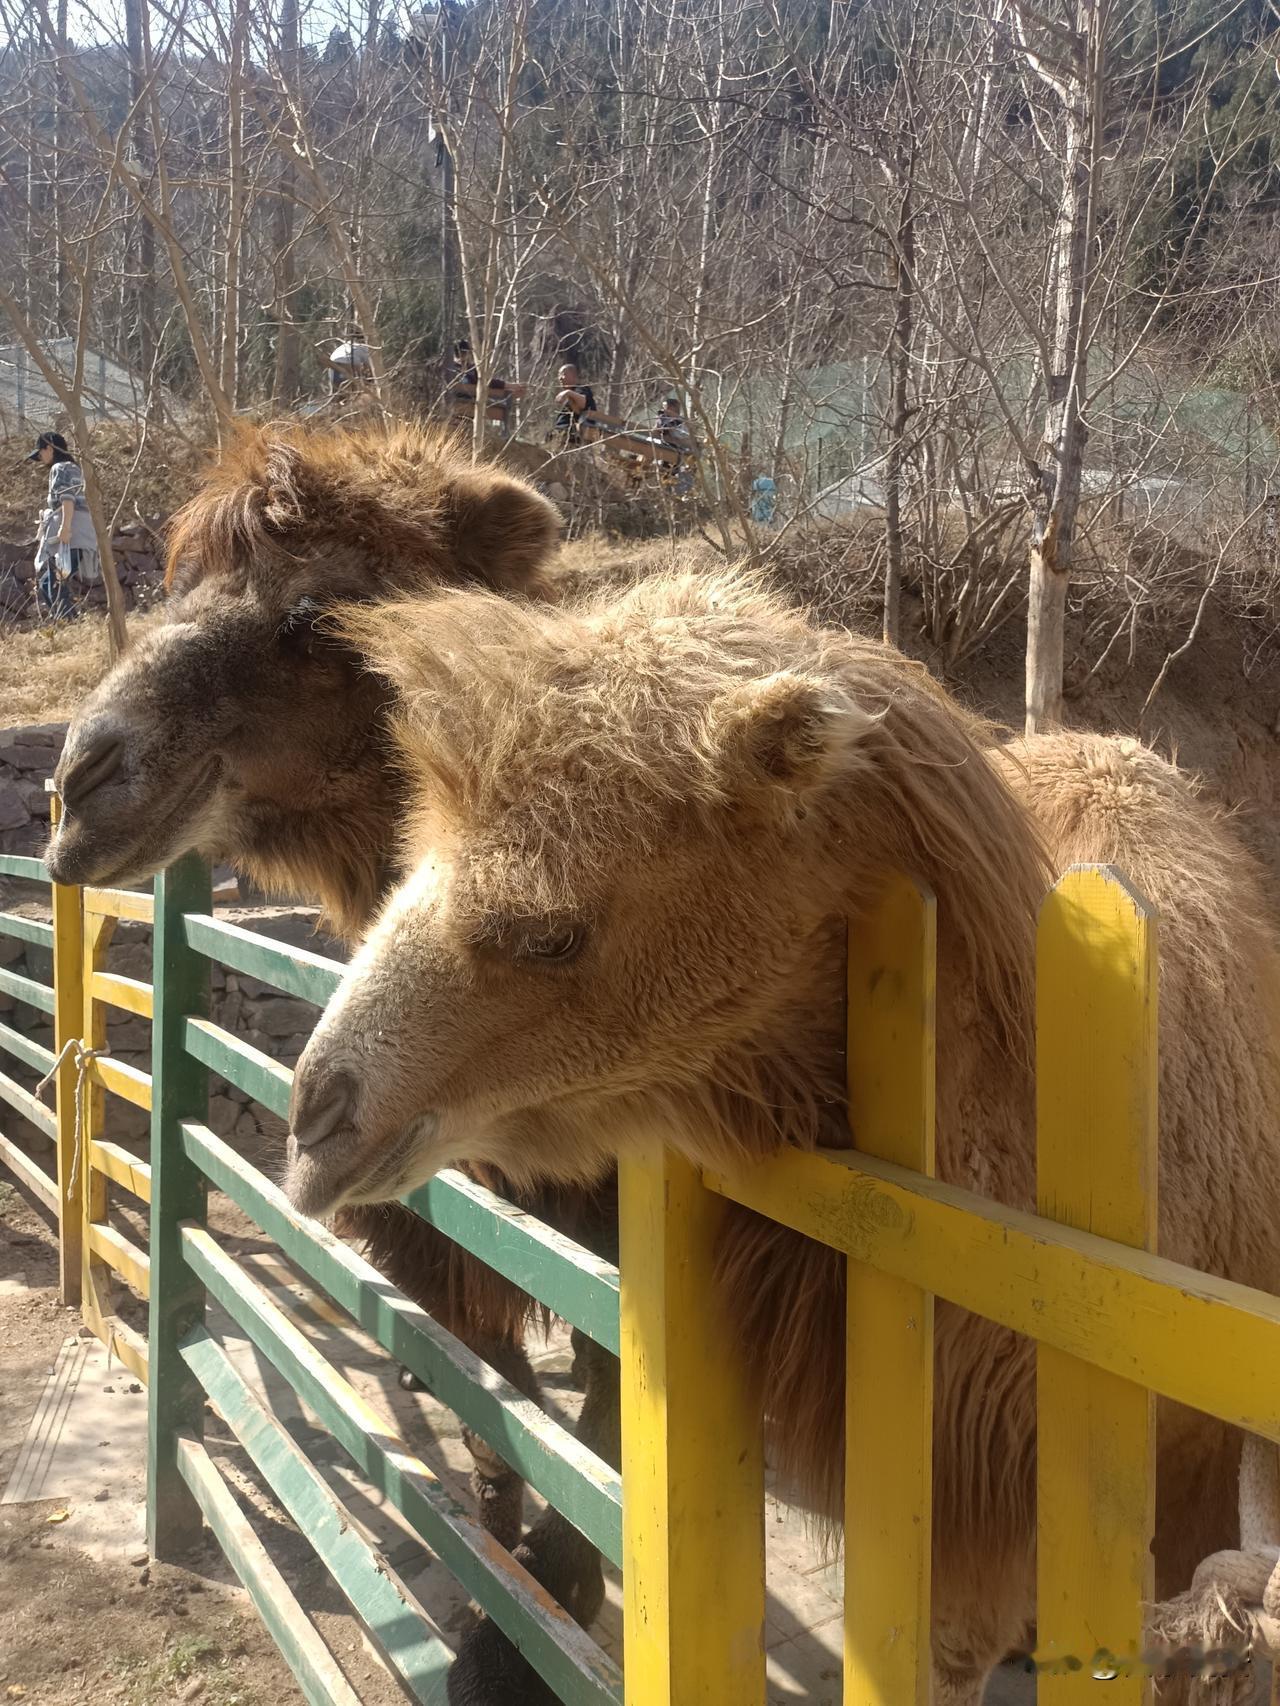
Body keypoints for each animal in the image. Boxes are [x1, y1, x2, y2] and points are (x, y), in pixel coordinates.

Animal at [44, 420, 619, 1694]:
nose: (73, 788)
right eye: (171, 585)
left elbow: (601, 1445)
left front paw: (528, 1633)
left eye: (315, 610)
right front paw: (495, 1604)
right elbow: (494, 1419)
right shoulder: (436, 1237)